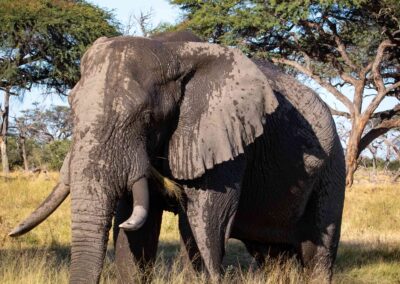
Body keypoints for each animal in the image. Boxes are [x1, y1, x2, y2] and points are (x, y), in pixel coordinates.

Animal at [10, 31, 346, 284]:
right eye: (71, 105)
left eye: (145, 115)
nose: (11, 232)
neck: (170, 50)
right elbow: (135, 230)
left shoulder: (226, 141)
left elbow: (204, 222)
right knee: (272, 254)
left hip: (333, 167)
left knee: (319, 249)